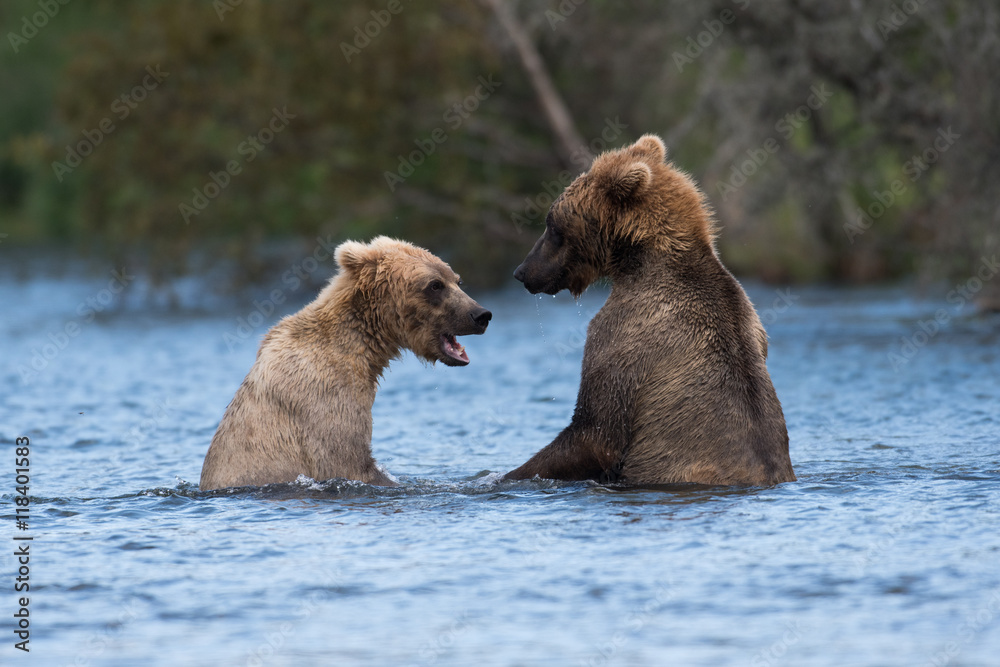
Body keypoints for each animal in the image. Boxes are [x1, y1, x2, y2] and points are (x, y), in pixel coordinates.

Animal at [200, 236, 492, 491]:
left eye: (456, 280)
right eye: (434, 285)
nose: (481, 314)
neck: (364, 345)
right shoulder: (324, 395)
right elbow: (347, 460)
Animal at [504, 134, 795, 486]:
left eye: (552, 224)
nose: (522, 272)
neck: (638, 260)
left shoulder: (628, 332)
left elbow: (595, 431)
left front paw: (503, 475)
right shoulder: (752, 324)